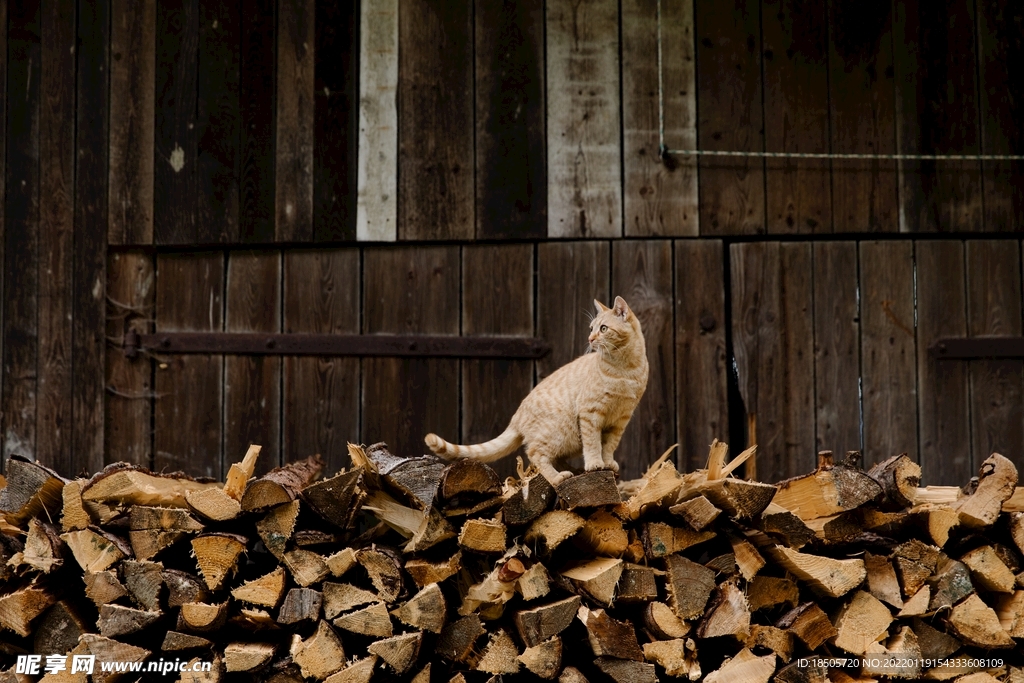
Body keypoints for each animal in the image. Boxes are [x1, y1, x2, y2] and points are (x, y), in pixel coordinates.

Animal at [423, 296, 647, 485]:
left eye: (603, 328)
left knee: (554, 457)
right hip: (559, 432)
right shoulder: (590, 413)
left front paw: (607, 462)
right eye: (591, 328)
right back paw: (557, 477)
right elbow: (593, 443)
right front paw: (594, 463)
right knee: (535, 453)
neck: (624, 368)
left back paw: (572, 471)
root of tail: (517, 416)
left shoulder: (621, 419)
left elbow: (609, 445)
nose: (590, 339)